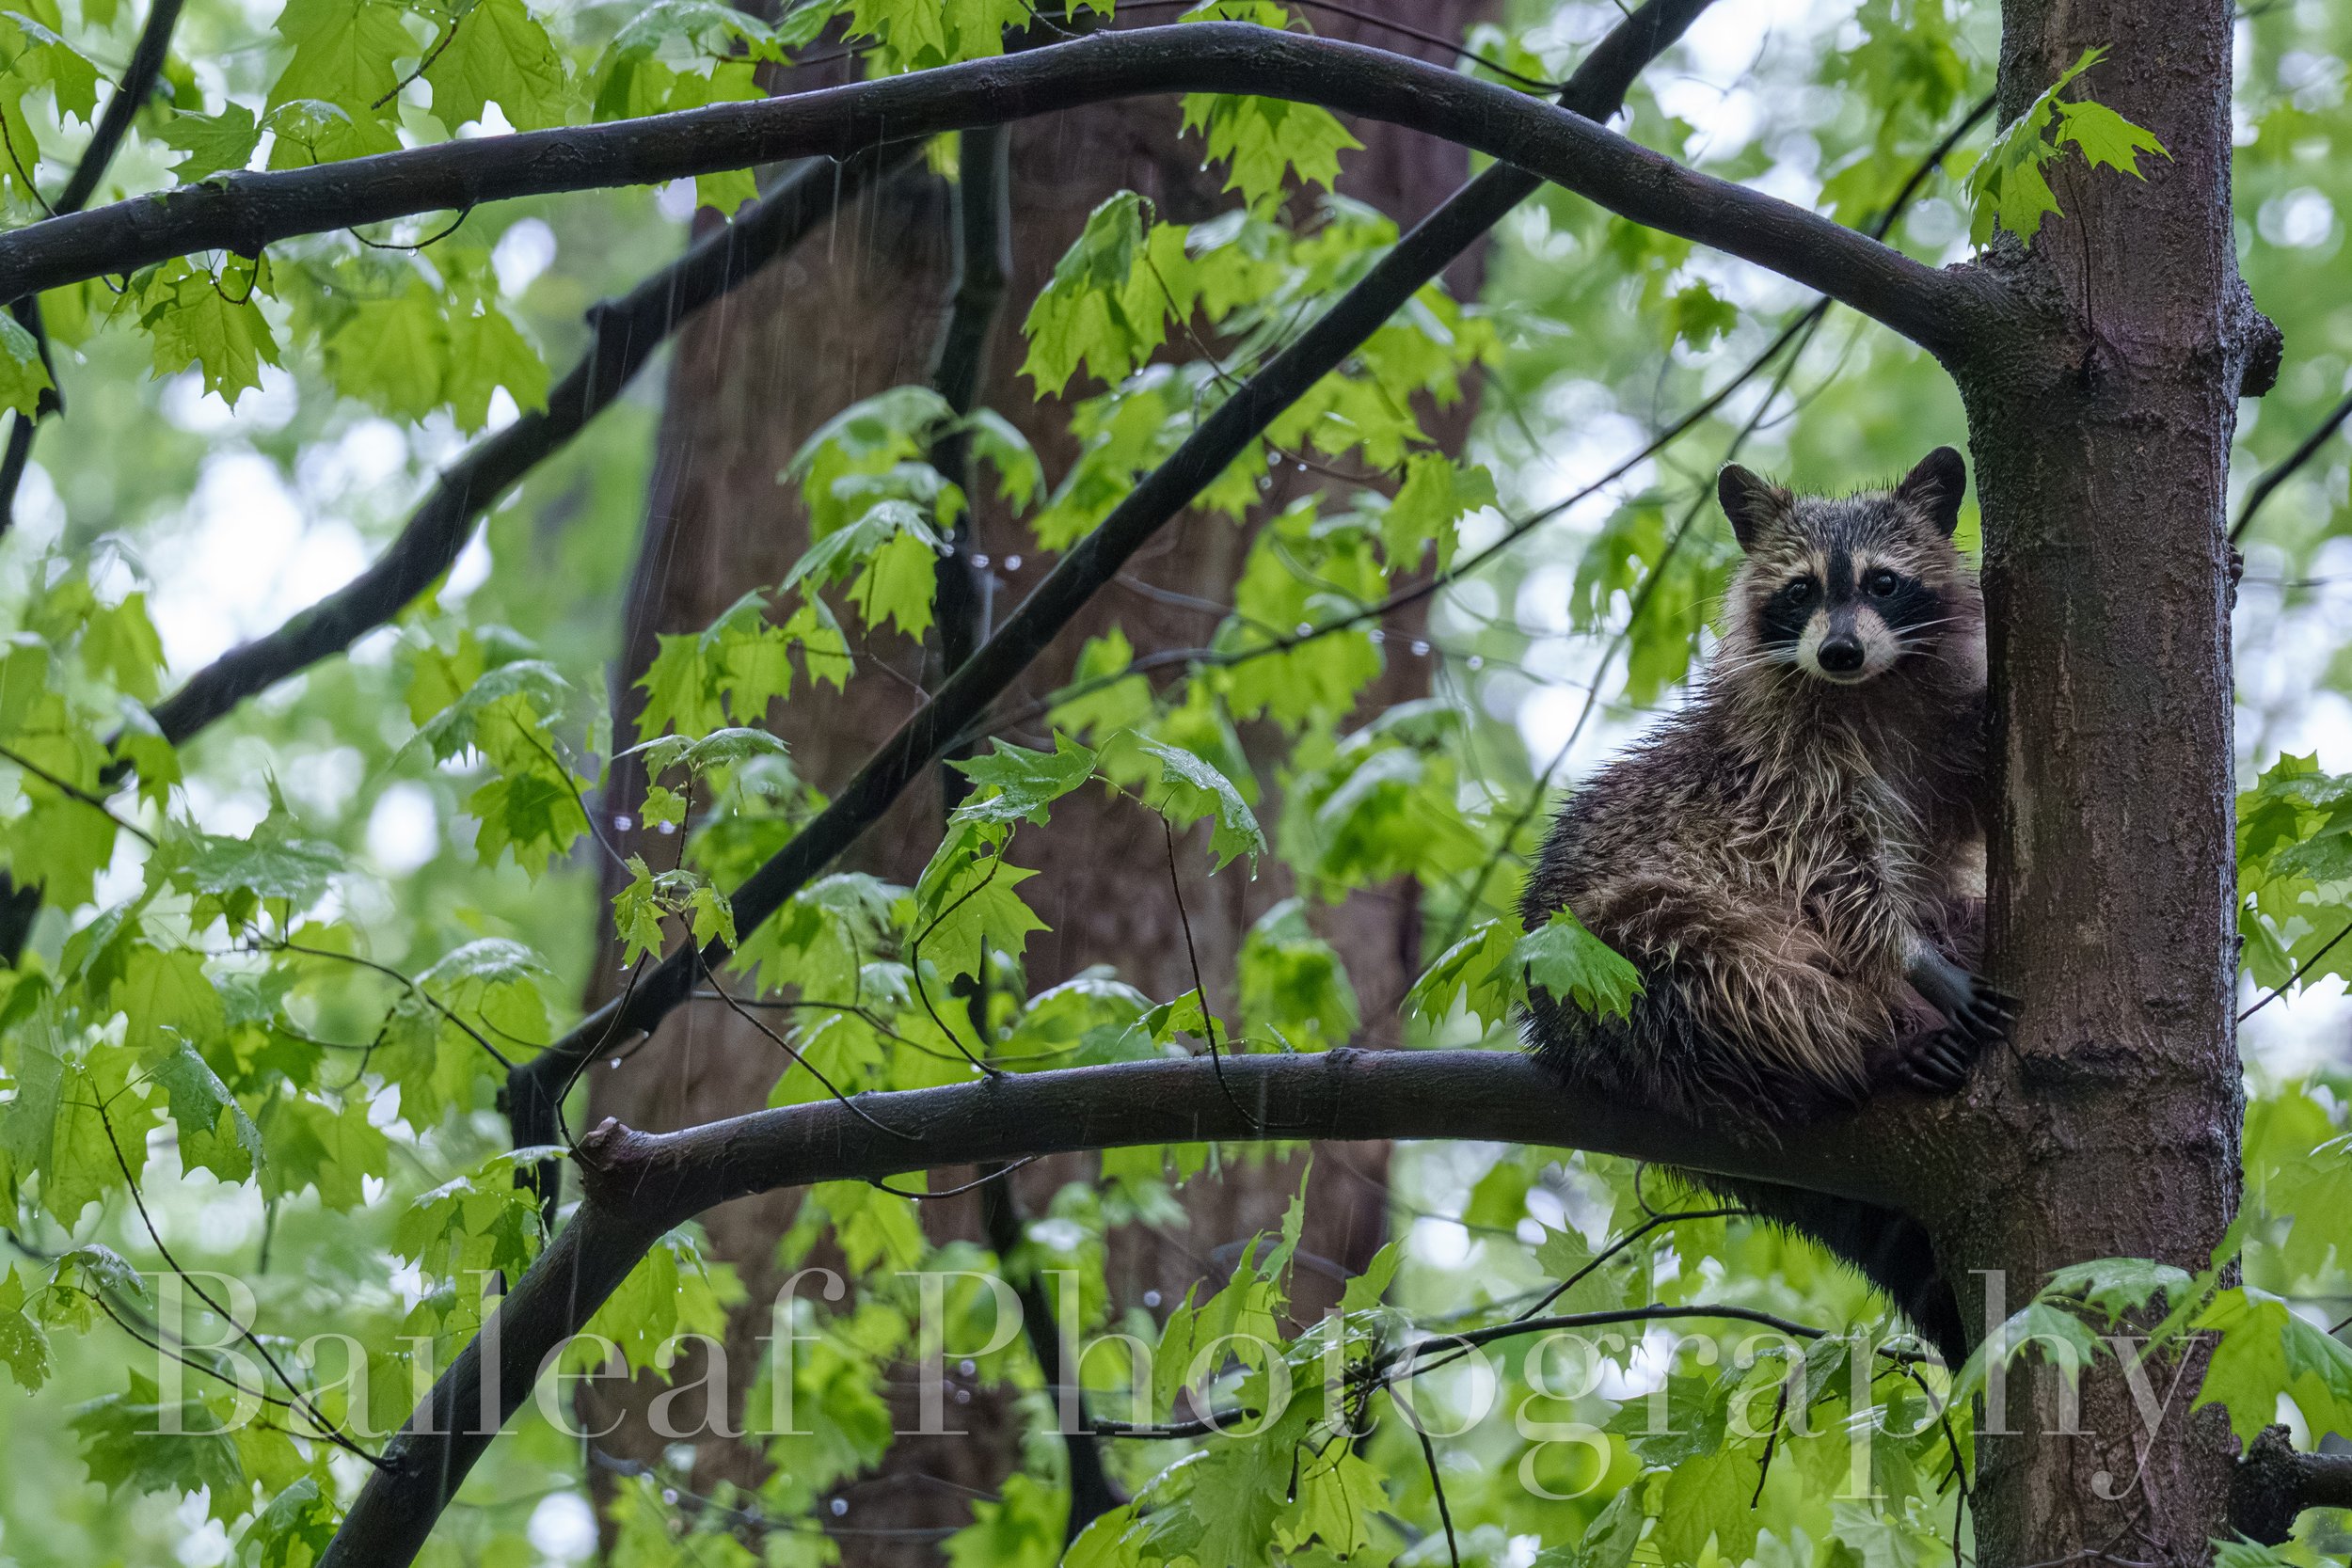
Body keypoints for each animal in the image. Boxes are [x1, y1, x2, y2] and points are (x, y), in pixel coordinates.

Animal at [1520, 446, 2010, 1366]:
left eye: (1884, 582)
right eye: (1800, 589)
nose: (1841, 650)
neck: (1869, 690)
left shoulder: (1932, 744)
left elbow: (1964, 811)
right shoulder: (1780, 778)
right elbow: (1834, 879)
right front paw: (1912, 961)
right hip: (1594, 968)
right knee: (1714, 972)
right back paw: (1868, 1046)